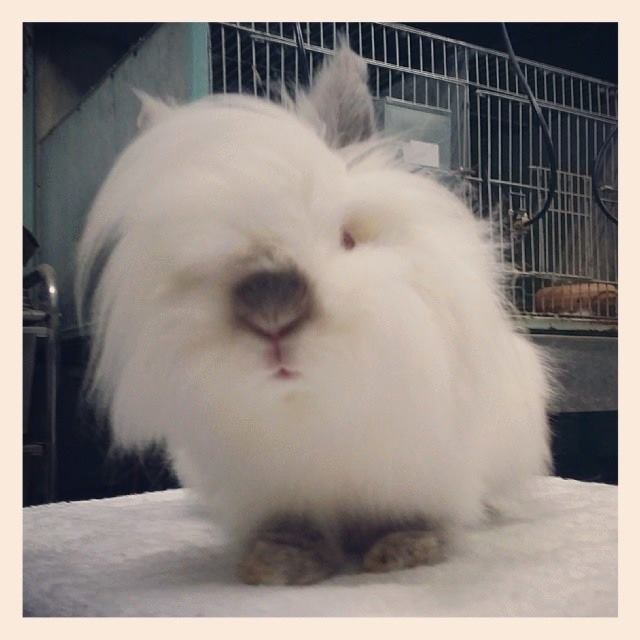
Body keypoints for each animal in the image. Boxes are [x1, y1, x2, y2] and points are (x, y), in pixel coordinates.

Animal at [76, 44, 552, 585]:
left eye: (347, 238)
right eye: (197, 256)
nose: (271, 309)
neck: (314, 404)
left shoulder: (422, 466)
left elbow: (409, 512)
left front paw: (403, 551)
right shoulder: (270, 487)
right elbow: (290, 523)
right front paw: (277, 564)